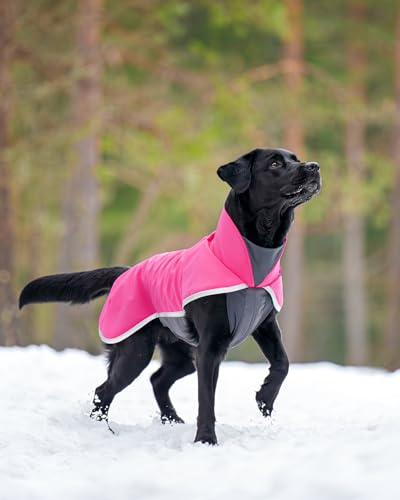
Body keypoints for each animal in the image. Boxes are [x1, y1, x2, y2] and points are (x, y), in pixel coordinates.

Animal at [19, 148, 322, 446]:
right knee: (104, 389)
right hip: (135, 351)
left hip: (180, 354)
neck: (250, 259)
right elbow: (206, 399)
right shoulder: (211, 346)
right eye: (275, 163)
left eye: (295, 159)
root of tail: (125, 272)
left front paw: (264, 399)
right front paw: (206, 440)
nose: (315, 167)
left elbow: (283, 363)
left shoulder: (265, 324)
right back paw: (102, 430)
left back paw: (171, 419)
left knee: (157, 379)